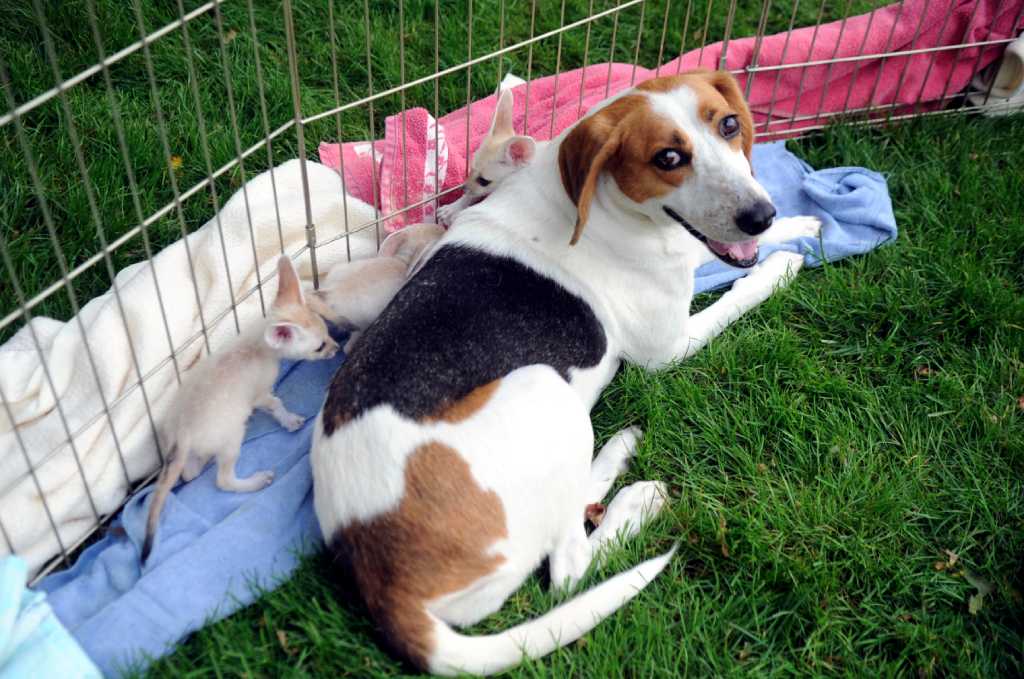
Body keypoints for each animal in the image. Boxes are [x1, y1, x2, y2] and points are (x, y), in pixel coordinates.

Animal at [307, 69, 819, 675]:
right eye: (668, 157)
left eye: (731, 125)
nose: (758, 215)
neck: (603, 205)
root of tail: (384, 583)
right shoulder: (668, 349)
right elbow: (738, 294)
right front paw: (780, 268)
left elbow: (715, 254)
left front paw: (803, 220)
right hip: (546, 387)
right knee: (569, 568)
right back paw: (635, 501)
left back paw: (616, 452)